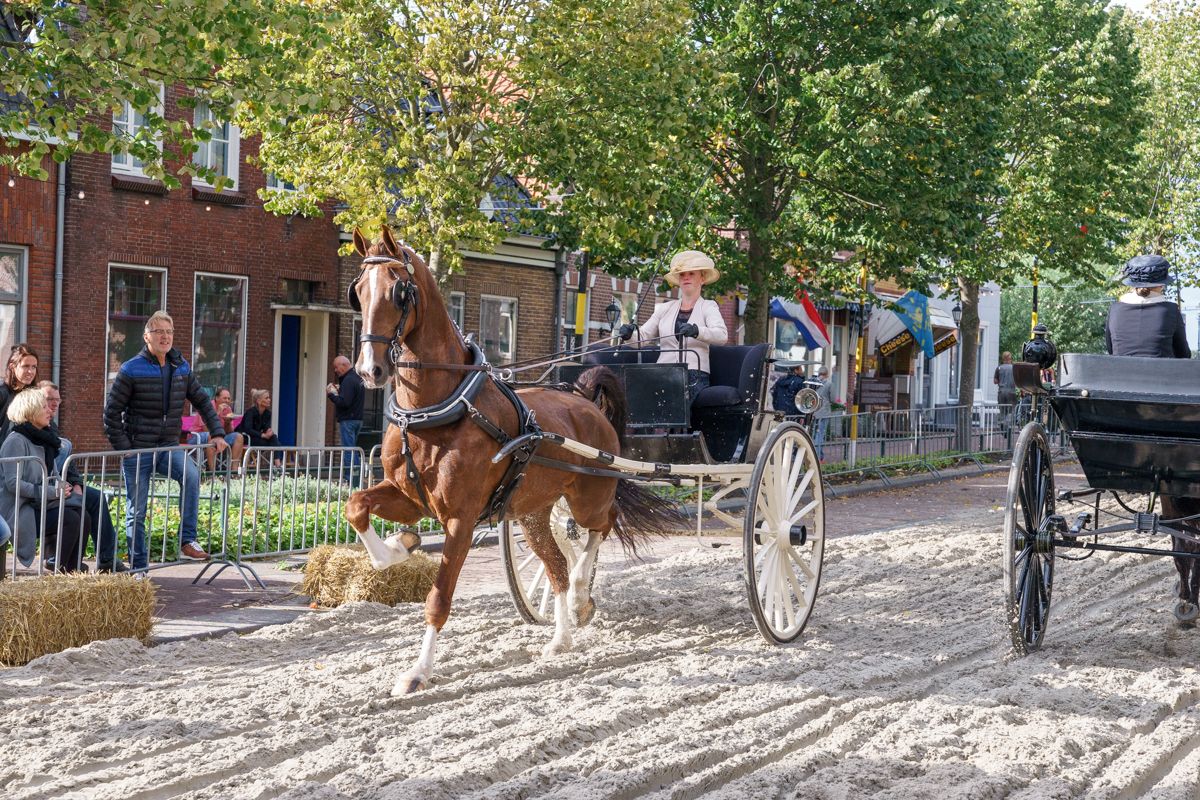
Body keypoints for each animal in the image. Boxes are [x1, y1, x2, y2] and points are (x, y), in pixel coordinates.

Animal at [344, 226, 680, 695]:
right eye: (357, 290)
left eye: (398, 291)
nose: (369, 370)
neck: (435, 410)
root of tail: (585, 399)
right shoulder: (407, 497)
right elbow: (356, 506)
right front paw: (399, 546)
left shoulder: (461, 518)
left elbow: (438, 598)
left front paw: (417, 672)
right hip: (533, 513)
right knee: (557, 565)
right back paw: (560, 638)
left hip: (588, 496)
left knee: (601, 527)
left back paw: (582, 596)